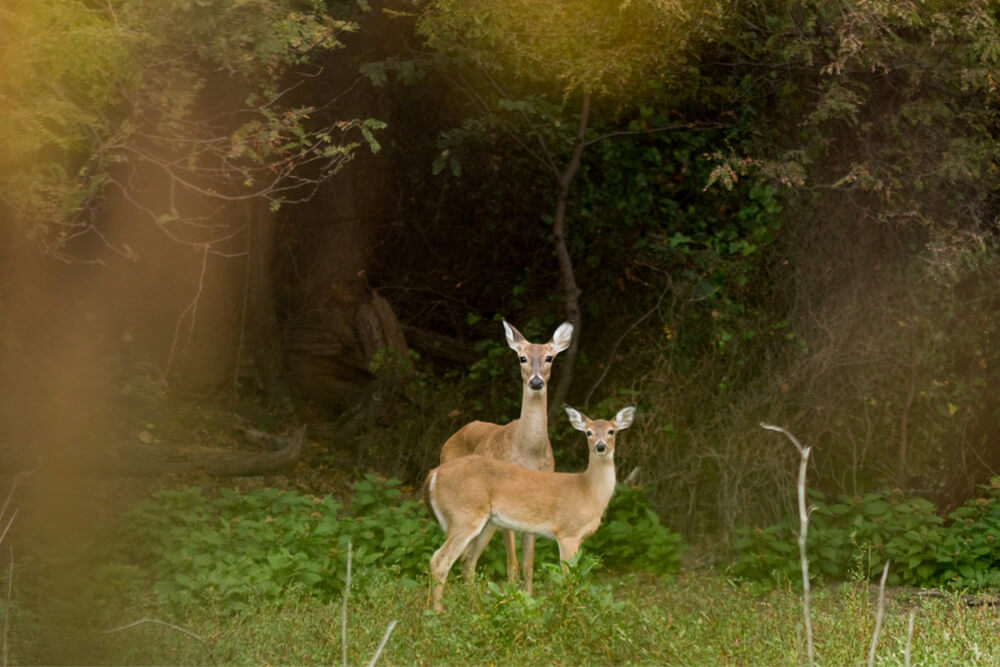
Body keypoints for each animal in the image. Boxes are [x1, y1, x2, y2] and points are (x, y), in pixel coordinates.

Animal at [422, 404, 632, 612]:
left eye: (611, 431)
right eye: (588, 432)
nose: (600, 446)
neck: (588, 490)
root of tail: (433, 475)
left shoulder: (578, 538)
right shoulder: (567, 533)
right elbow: (568, 578)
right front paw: (568, 612)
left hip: (483, 523)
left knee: (466, 560)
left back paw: (475, 607)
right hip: (464, 516)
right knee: (439, 561)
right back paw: (439, 612)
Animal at [436, 318, 572, 596]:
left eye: (549, 357)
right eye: (522, 357)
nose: (536, 382)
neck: (528, 453)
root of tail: (451, 437)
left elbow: (529, 562)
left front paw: (528, 599)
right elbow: (512, 562)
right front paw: (512, 598)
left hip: (487, 521)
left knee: (468, 558)